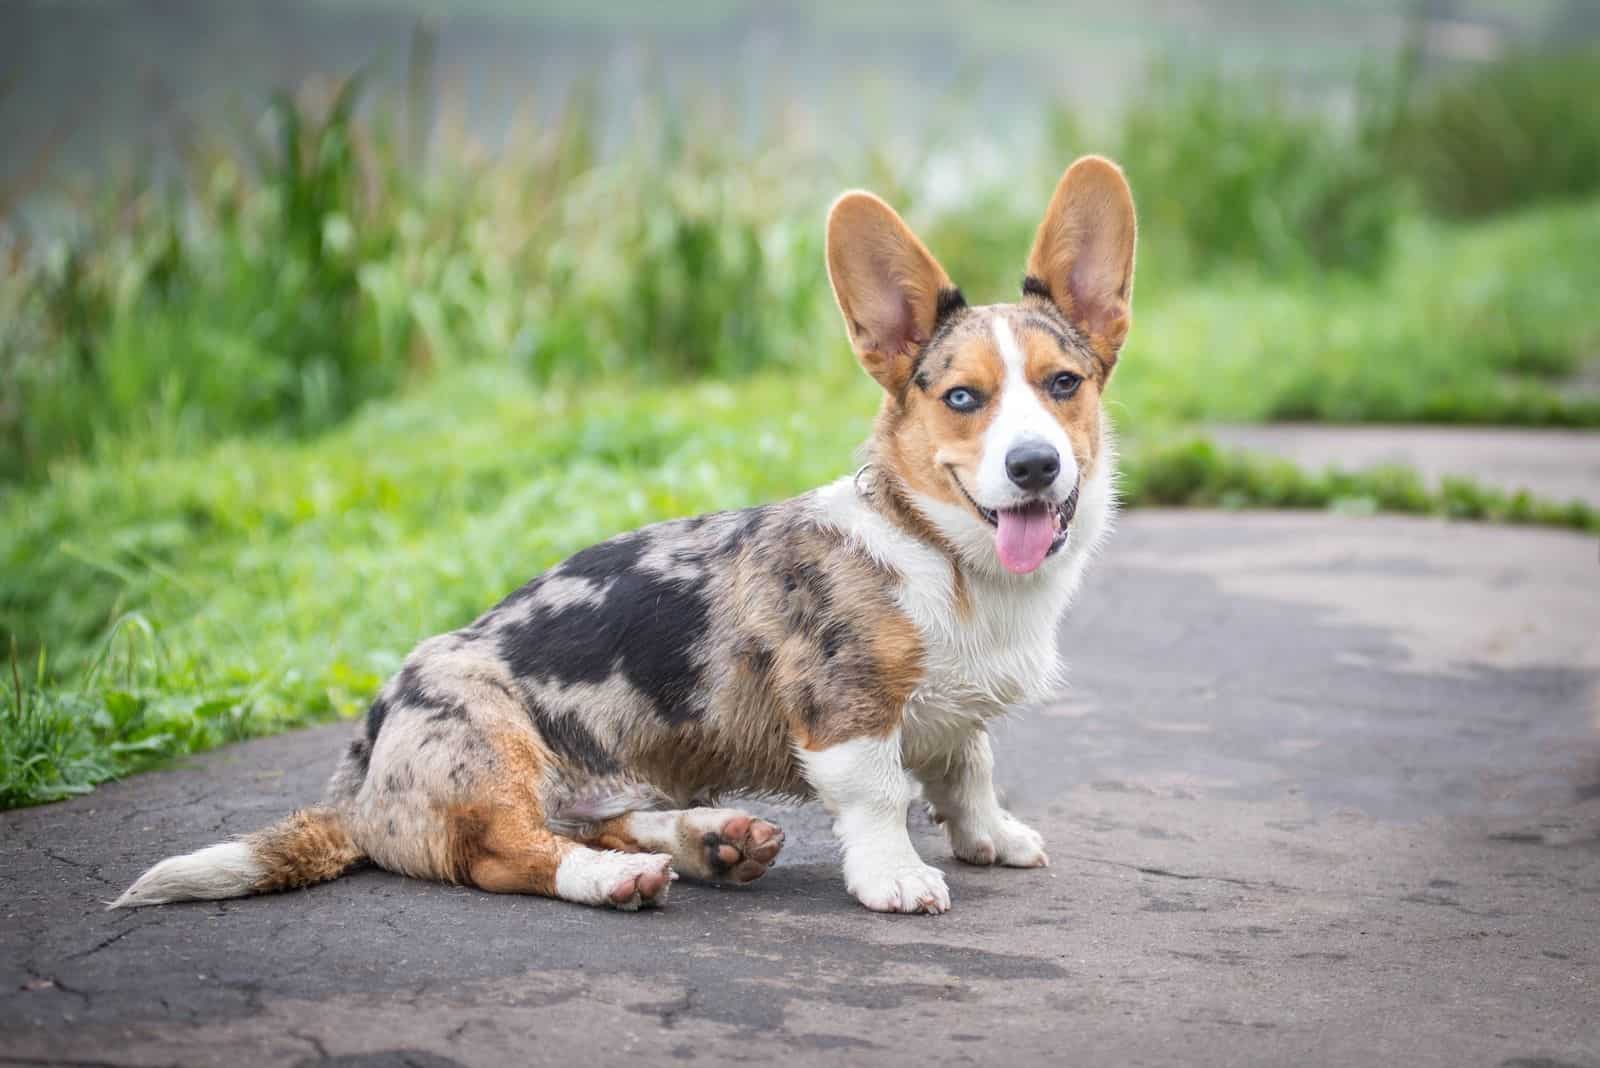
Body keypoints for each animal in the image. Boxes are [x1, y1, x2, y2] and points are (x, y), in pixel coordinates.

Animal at [112, 156, 1132, 920]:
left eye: (1064, 384)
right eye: (962, 398)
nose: (1034, 466)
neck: (948, 558)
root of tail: (360, 784)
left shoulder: (953, 717)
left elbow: (968, 768)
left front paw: (991, 839)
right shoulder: (847, 710)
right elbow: (882, 794)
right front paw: (898, 878)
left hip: (596, 780)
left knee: (588, 820)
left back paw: (709, 841)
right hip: (489, 744)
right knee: (507, 854)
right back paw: (620, 878)